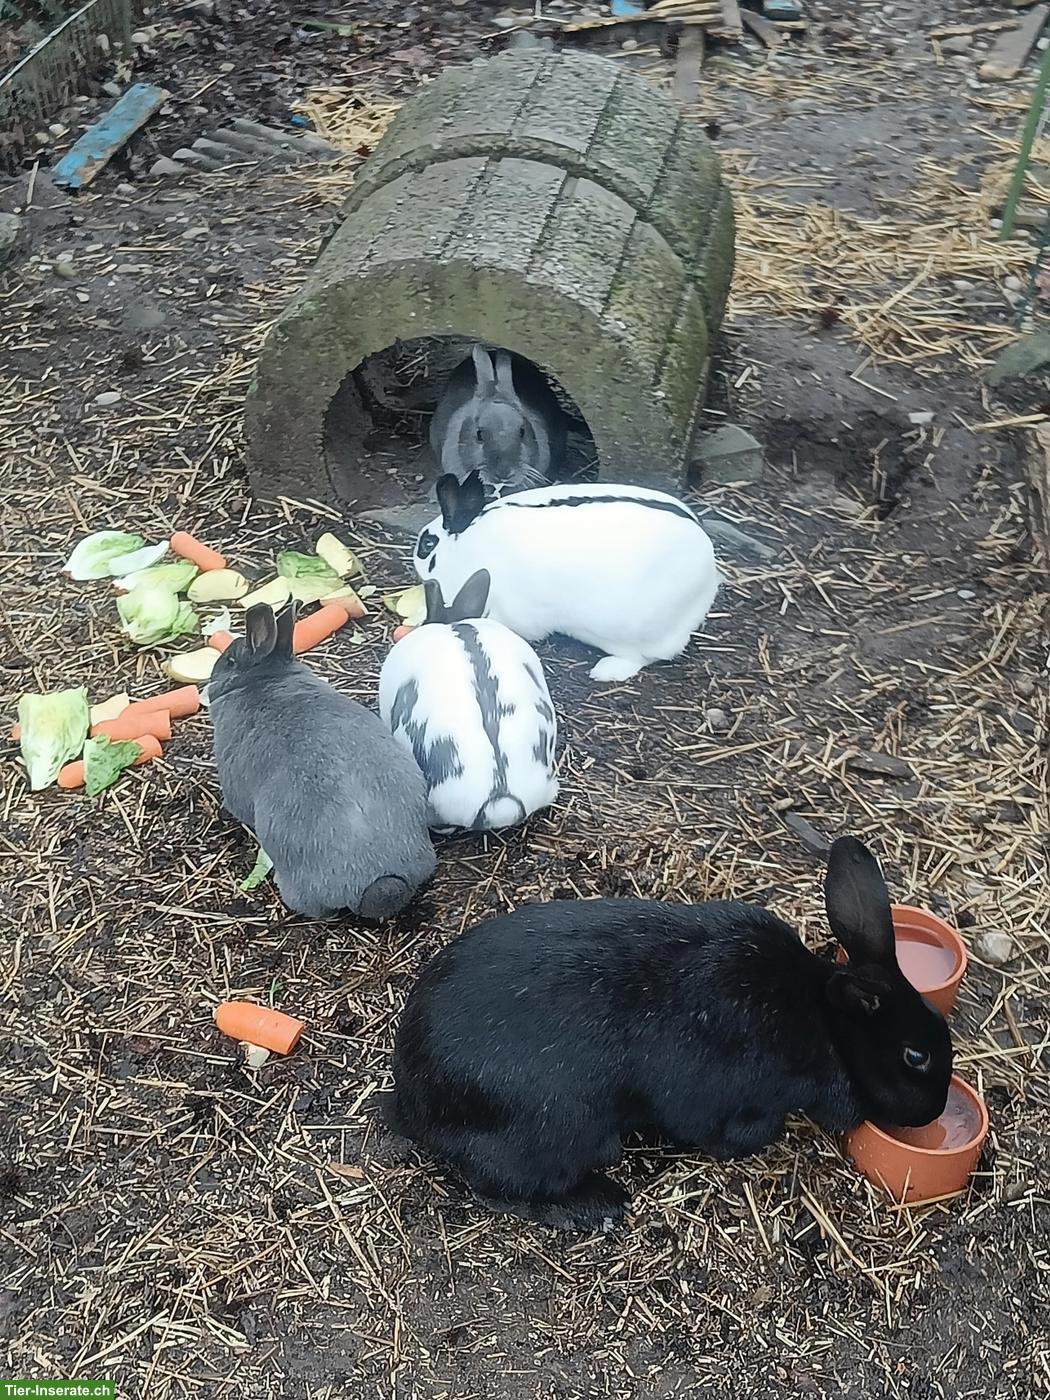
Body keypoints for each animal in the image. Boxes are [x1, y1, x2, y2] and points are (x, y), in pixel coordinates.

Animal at [386, 837, 953, 1231]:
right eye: (915, 1055)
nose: (933, 1112)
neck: (824, 1017)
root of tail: (412, 1101)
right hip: (563, 1130)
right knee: (497, 1186)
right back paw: (597, 1206)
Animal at [413, 472, 722, 682]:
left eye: (427, 545)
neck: (464, 547)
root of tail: (709, 578)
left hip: (634, 629)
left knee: (644, 656)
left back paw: (605, 671)